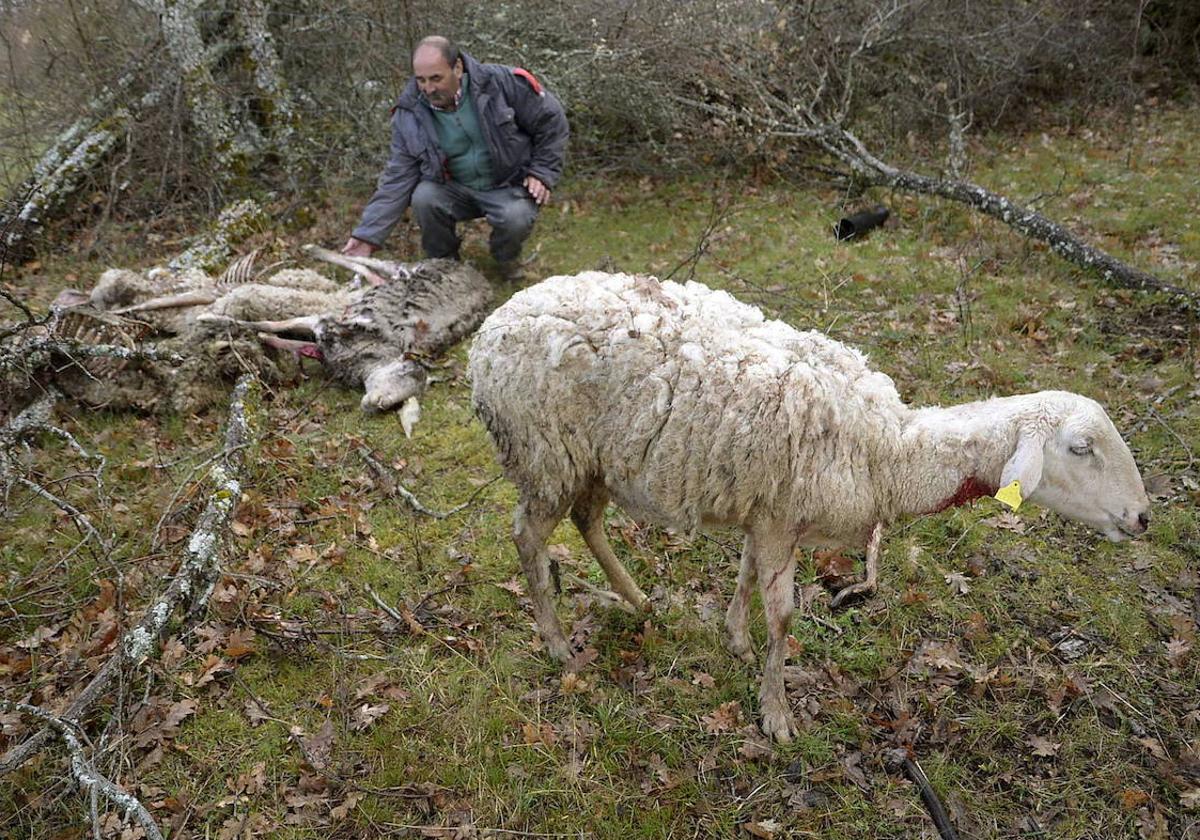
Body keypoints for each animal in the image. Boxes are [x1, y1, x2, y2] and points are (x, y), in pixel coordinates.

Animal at [468, 268, 1152, 739]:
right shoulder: (779, 516)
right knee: (529, 538)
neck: (888, 451)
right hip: (544, 453)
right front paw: (775, 712)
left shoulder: (770, 516)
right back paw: (558, 644)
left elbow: (746, 578)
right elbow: (784, 618)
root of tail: (491, 327)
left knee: (587, 521)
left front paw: (736, 641)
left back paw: (638, 600)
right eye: (1082, 448)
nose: (1143, 518)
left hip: (590, 459)